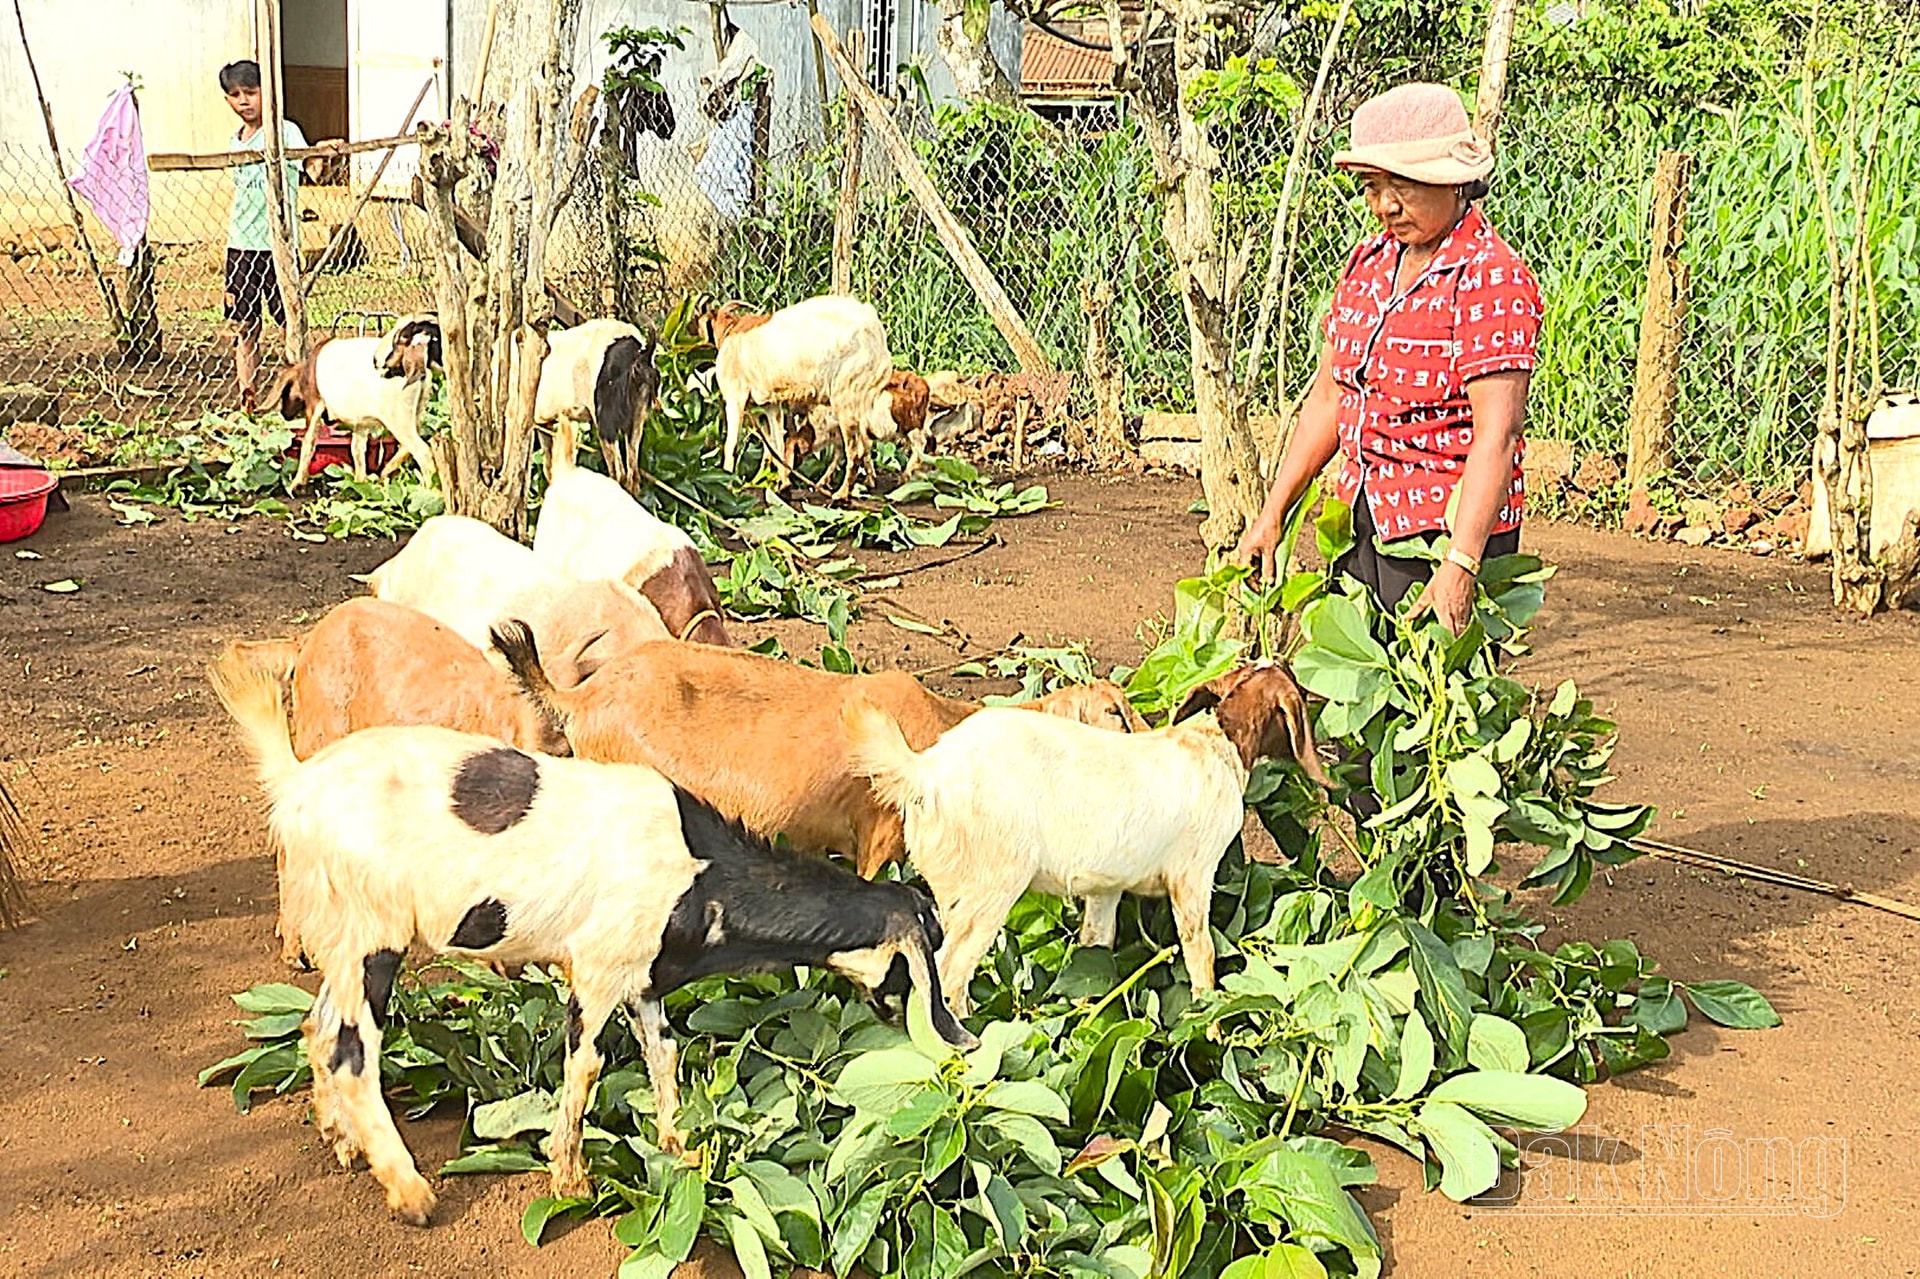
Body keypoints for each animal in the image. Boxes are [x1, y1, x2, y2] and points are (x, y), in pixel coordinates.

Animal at [848, 660, 1328, 1013]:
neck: (1216, 744)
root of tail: (924, 772)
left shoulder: (1106, 888)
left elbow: (1096, 942)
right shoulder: (1193, 875)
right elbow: (1200, 952)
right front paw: (1207, 1020)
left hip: (950, 887)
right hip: (990, 886)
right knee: (947, 975)